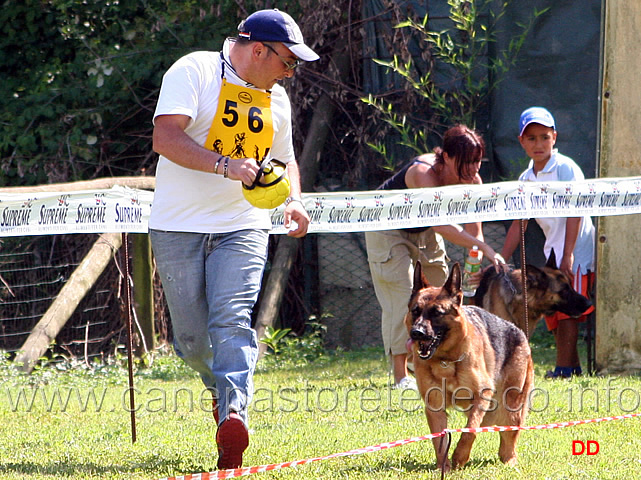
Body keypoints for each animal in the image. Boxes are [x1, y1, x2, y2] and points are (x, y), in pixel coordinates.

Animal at [404, 260, 536, 470]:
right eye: (415, 311)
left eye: (436, 313)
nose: (416, 333)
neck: (446, 359)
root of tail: (519, 331)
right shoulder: (434, 406)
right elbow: (440, 441)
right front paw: (444, 468)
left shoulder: (482, 396)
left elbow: (470, 429)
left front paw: (460, 457)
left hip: (511, 405)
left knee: (508, 438)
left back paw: (509, 460)